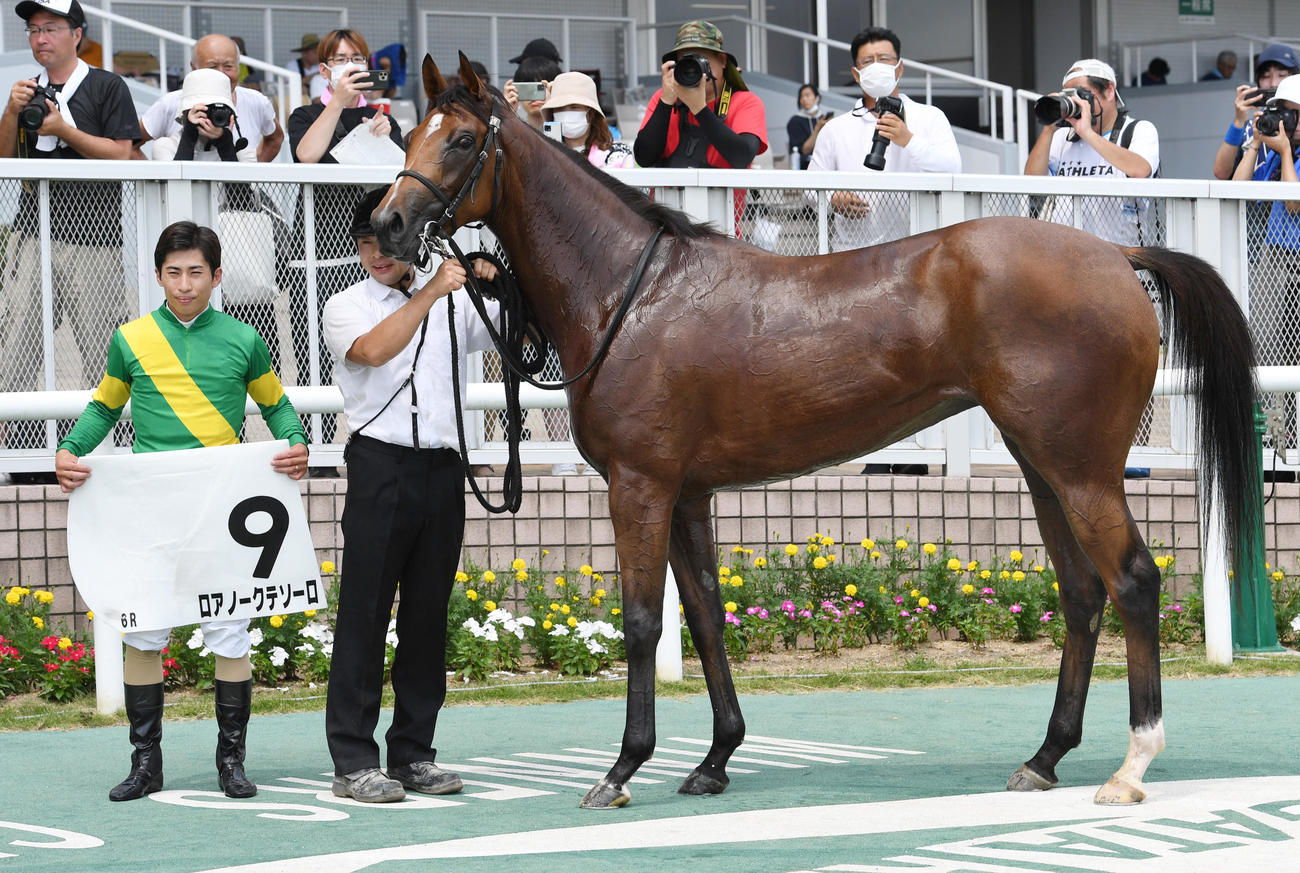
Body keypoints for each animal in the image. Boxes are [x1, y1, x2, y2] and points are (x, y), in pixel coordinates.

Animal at [374, 54, 1259, 810]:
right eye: (409, 133)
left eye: (460, 140)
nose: (385, 223)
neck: (632, 290)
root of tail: (1117, 258)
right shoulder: (688, 494)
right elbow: (704, 616)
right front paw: (714, 759)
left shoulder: (640, 486)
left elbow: (644, 621)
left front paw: (622, 768)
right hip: (1041, 464)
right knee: (1081, 593)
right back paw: (1044, 758)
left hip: (1082, 469)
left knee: (1134, 581)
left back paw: (1131, 766)